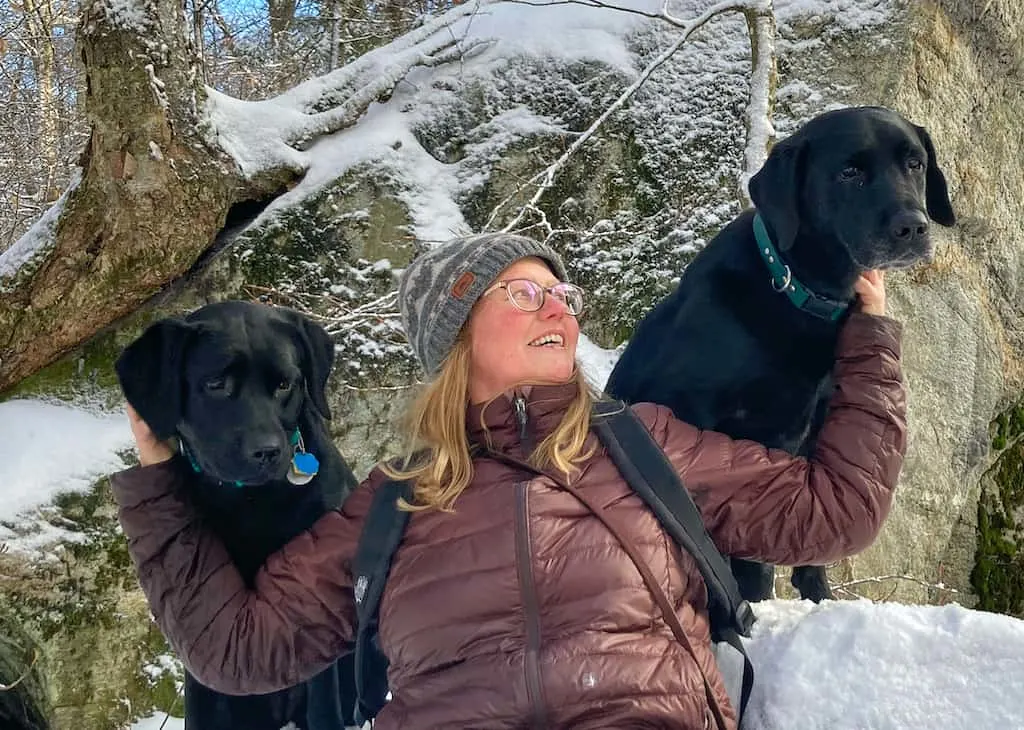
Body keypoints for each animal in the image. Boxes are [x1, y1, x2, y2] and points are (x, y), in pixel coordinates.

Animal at [606, 105, 950, 602]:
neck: (794, 287)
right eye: (849, 172)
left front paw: (818, 598)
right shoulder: (701, 421)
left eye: (915, 163)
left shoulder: (814, 428)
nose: (913, 226)